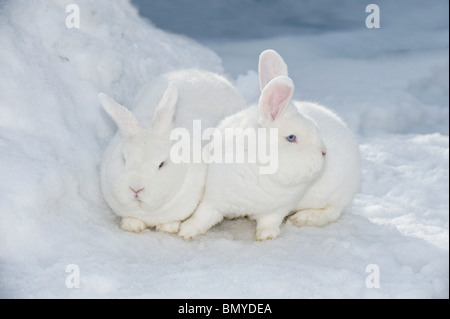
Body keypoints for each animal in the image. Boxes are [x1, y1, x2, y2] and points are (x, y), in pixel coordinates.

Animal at [99, 69, 246, 235]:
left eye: (161, 164)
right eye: (124, 159)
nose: (136, 188)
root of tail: (204, 73)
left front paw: (168, 228)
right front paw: (131, 226)